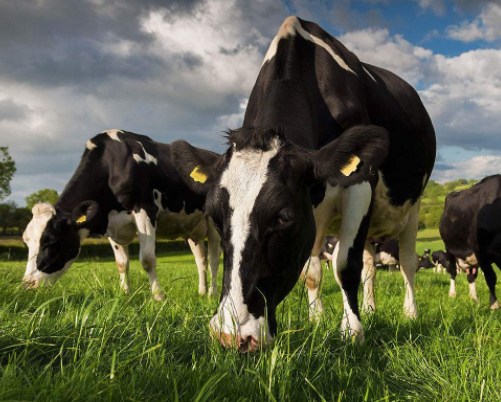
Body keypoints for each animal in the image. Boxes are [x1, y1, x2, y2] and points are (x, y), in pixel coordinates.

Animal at [21, 130, 221, 298]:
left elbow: (147, 259)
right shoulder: (111, 224)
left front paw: (158, 297)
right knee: (201, 259)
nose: (28, 285)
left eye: (52, 240)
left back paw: (212, 293)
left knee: (214, 258)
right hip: (191, 227)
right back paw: (202, 291)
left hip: (213, 222)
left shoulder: (145, 210)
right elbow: (121, 263)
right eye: (26, 241)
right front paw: (125, 294)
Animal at [171, 15, 434, 348]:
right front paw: (317, 319)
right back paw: (371, 309)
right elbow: (312, 272)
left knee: (408, 262)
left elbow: (345, 265)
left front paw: (352, 333)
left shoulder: (360, 184)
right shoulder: (314, 211)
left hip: (413, 206)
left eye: (283, 218)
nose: (232, 336)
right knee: (369, 266)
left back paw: (410, 313)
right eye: (215, 217)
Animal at [438, 175, 500, 308]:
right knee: (452, 271)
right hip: (449, 248)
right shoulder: (480, 250)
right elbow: (490, 277)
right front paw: (494, 305)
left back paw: (474, 298)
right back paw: (452, 294)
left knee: (471, 275)